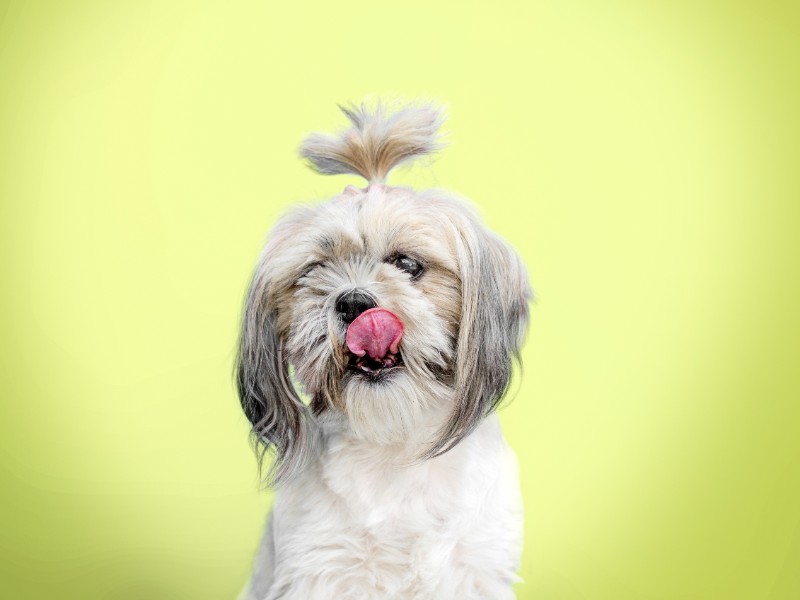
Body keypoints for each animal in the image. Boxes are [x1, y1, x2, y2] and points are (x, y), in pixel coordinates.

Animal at [238, 101, 532, 596]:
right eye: (315, 271)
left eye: (407, 264)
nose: (354, 301)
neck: (394, 443)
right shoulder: (322, 568)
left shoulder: (475, 568)